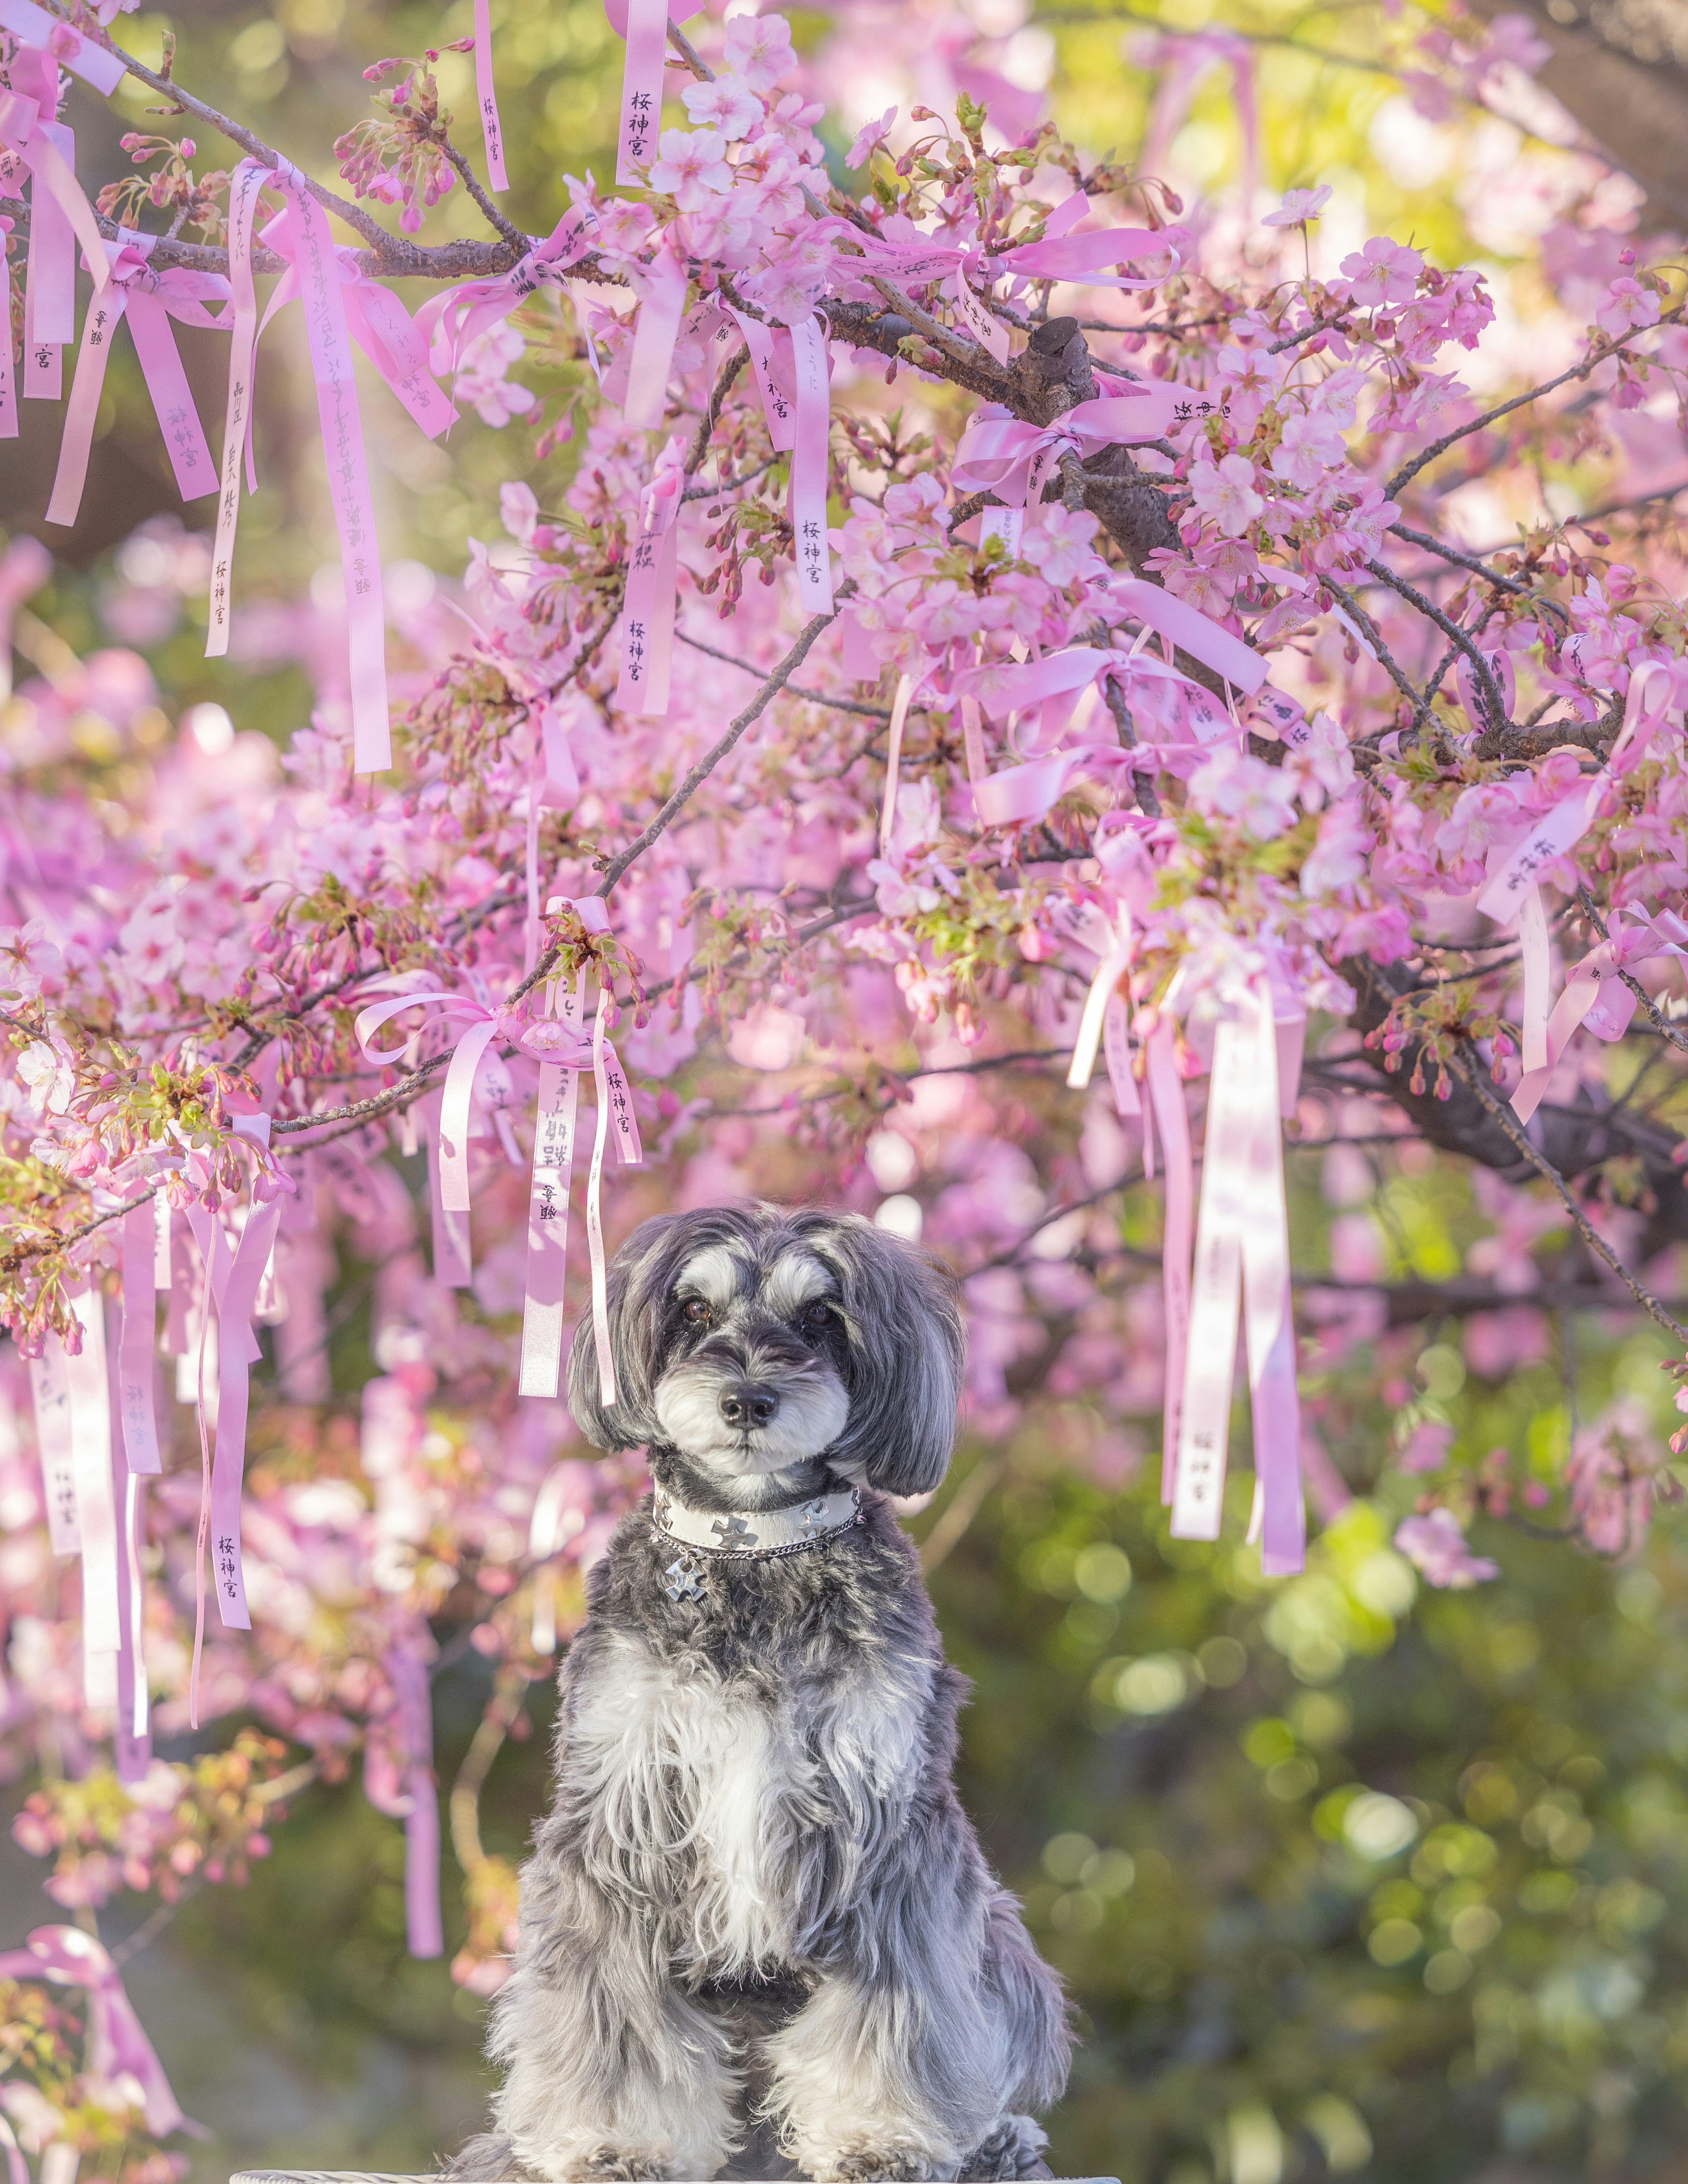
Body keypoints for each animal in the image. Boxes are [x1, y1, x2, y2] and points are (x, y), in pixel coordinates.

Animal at [452, 1205, 1066, 2175]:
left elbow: (898, 2013)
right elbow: (610, 2017)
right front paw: (611, 2140)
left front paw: (879, 2137)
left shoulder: (888, 1830)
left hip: (1001, 1936)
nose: (746, 1399)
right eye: (694, 1308)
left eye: (820, 1316)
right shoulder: (618, 1816)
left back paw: (996, 2139)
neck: (753, 1544)